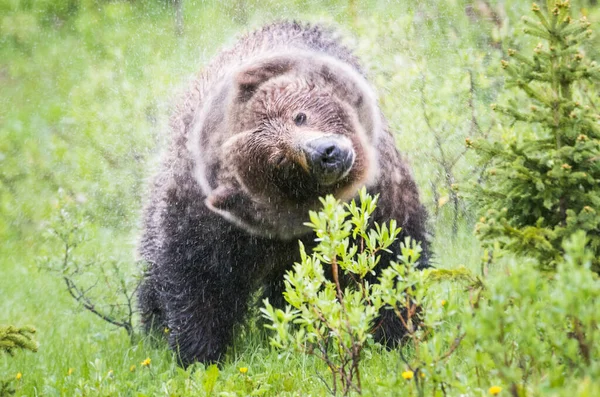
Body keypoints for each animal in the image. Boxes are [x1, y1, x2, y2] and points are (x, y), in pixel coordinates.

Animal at [138, 20, 428, 364]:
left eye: (299, 115)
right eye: (279, 160)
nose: (326, 153)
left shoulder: (376, 193)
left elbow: (391, 251)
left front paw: (395, 330)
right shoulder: (208, 221)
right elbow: (197, 276)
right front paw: (198, 352)